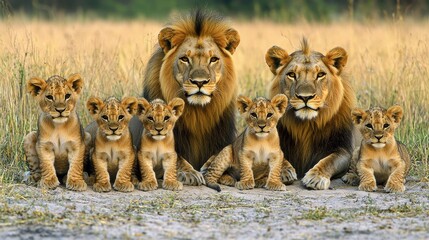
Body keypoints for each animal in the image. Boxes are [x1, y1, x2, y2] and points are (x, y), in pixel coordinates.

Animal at [129, 9, 239, 180]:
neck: (198, 114)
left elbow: (222, 155)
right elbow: (175, 157)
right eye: (185, 59)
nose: (200, 82)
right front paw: (190, 173)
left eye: (213, 59)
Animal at [264, 39, 354, 189]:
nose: (305, 97)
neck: (306, 125)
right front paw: (283, 172)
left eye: (320, 75)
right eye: (292, 74)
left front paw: (316, 177)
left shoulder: (344, 149)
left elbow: (330, 160)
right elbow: (278, 155)